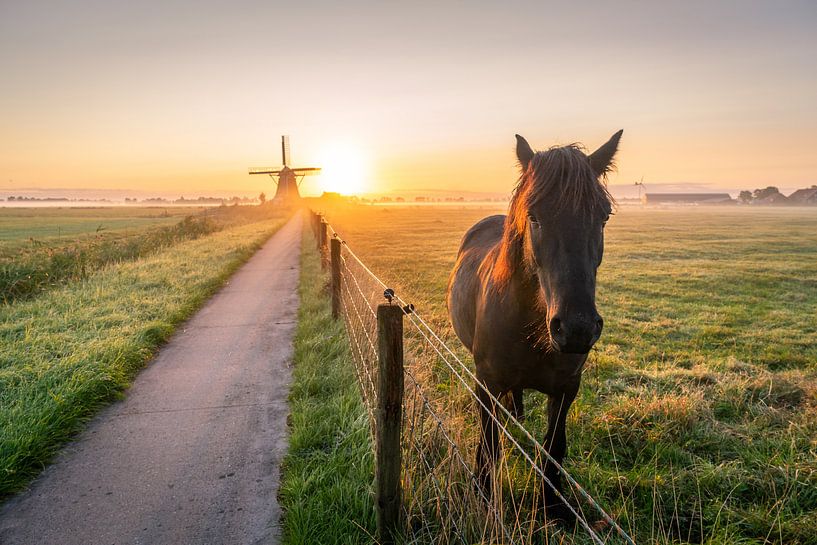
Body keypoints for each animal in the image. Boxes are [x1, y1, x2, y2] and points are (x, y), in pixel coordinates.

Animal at [444, 130, 620, 520]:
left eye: (603, 217)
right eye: (534, 216)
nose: (577, 328)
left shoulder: (567, 388)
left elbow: (553, 448)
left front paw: (552, 507)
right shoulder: (486, 383)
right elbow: (489, 446)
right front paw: (483, 495)